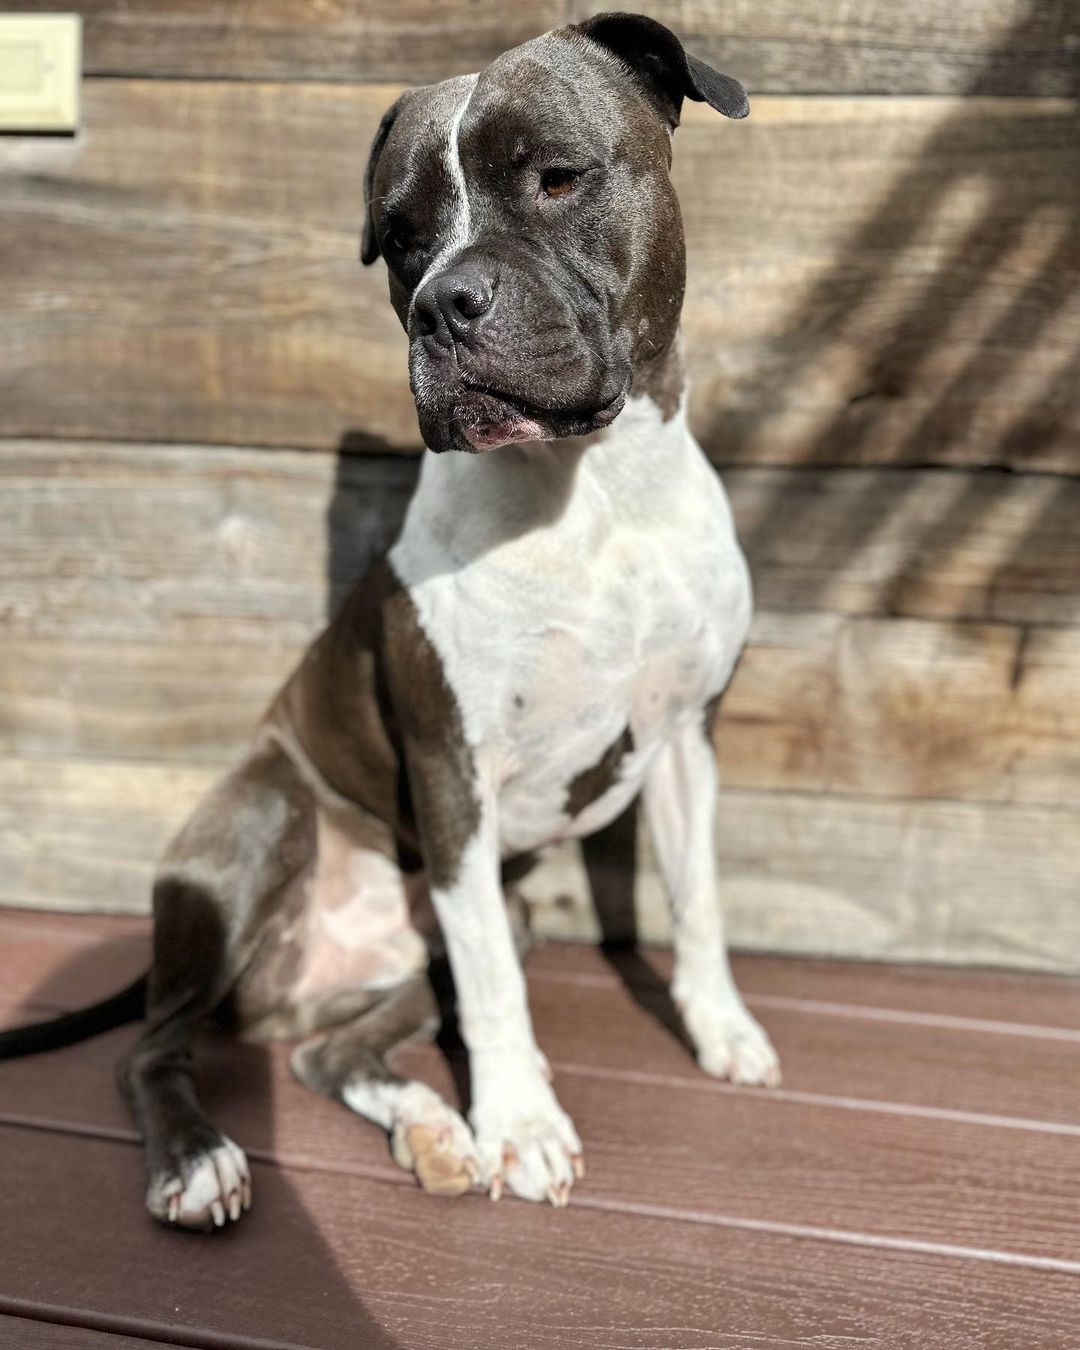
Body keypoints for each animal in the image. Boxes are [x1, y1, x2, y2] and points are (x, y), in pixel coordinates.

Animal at [0, 10, 783, 1231]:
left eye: (558, 178)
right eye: (401, 237)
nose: (441, 305)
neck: (595, 495)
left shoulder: (687, 737)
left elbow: (697, 900)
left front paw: (720, 1029)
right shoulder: (455, 774)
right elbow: (500, 992)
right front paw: (522, 1125)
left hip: (442, 941)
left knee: (330, 1056)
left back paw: (430, 1126)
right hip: (261, 824)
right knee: (150, 1049)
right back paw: (201, 1159)